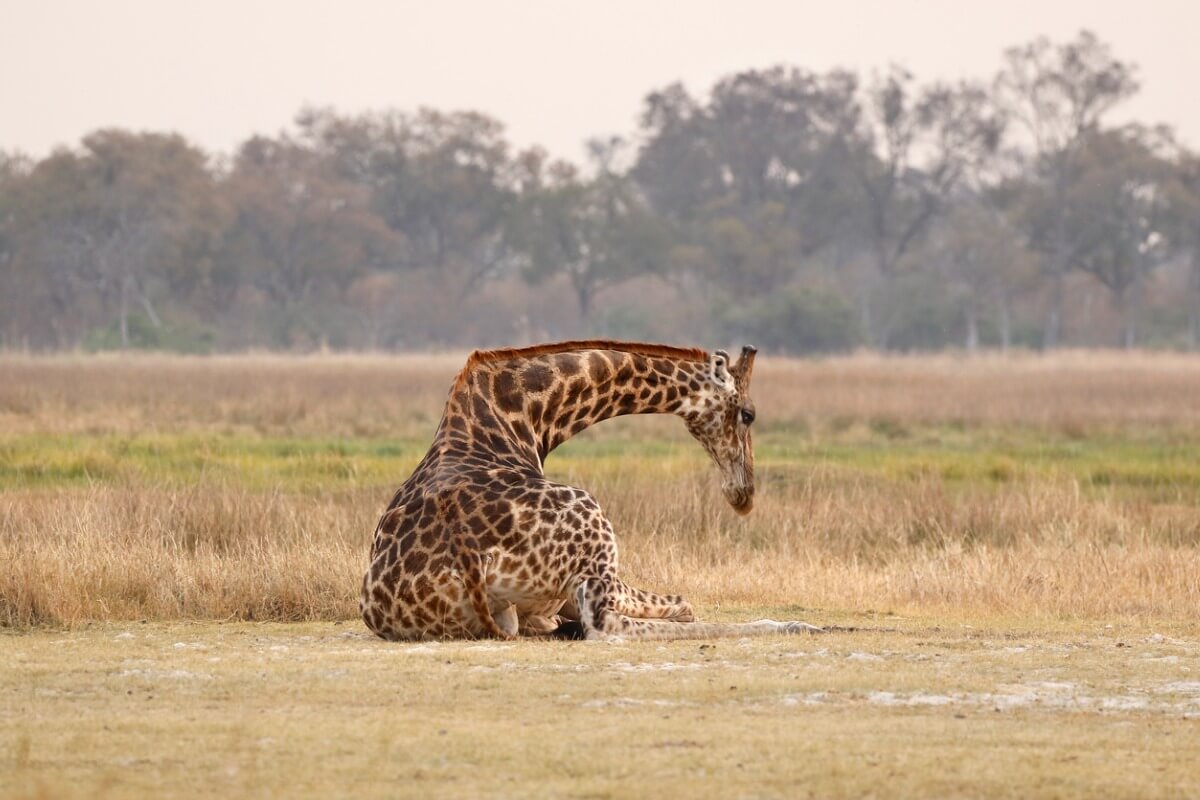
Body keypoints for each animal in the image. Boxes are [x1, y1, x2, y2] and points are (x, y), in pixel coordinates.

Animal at [360, 340, 822, 641]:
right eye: (748, 414)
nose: (744, 495)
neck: (526, 415)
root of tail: (467, 558)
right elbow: (683, 605)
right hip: (595, 528)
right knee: (606, 626)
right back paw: (794, 624)